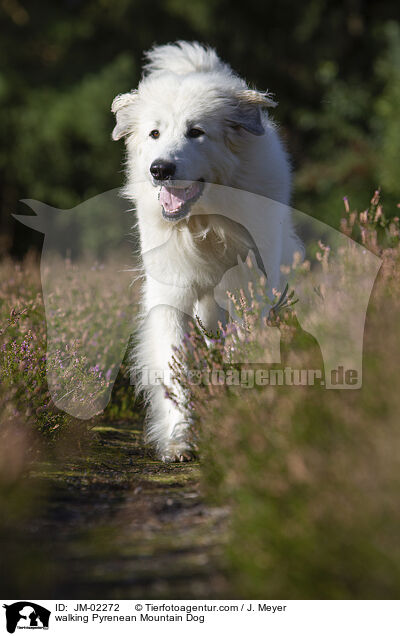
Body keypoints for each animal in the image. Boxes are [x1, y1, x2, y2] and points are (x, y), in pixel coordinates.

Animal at [111, 41, 300, 462]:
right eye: (154, 133)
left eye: (195, 132)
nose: (160, 169)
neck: (205, 223)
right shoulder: (171, 295)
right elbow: (174, 367)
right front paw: (179, 437)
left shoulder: (247, 289)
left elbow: (241, 353)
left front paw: (240, 418)